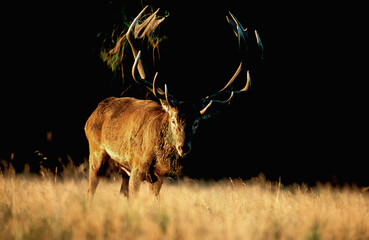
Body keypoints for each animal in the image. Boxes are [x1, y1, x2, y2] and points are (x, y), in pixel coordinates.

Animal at [84, 6, 262, 198]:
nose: (184, 147)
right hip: (96, 150)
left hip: (123, 168)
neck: (156, 156)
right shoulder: (137, 167)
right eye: (174, 120)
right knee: (91, 189)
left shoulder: (158, 177)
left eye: (196, 123)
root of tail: (93, 113)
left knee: (121, 192)